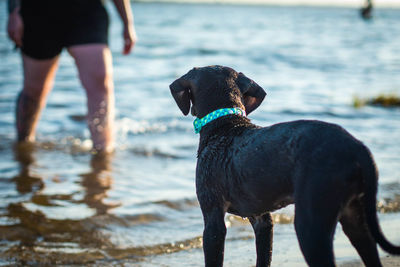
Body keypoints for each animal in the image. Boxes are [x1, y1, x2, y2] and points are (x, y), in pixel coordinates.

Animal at [170, 65, 400, 267]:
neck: (225, 125)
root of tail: (357, 148)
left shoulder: (213, 219)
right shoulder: (262, 219)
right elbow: (264, 258)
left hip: (311, 223)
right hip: (355, 218)